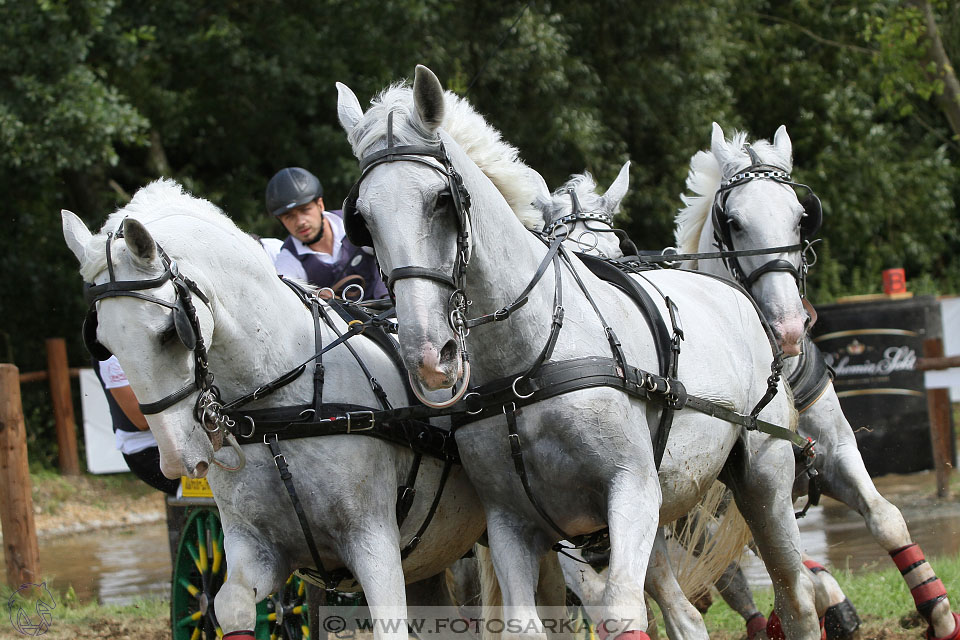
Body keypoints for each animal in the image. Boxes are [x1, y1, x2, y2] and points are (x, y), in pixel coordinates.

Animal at [59, 181, 488, 640]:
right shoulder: (258, 548)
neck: (281, 410)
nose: (179, 459)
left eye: (168, 333)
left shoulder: (374, 542)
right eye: (104, 344)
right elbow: (229, 606)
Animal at [336, 66, 816, 640]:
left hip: (763, 479)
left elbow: (623, 611)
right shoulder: (512, 523)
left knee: (795, 595)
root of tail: (738, 296)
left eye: (440, 200)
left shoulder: (632, 492)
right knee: (686, 616)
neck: (526, 364)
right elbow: (526, 623)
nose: (430, 354)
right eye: (362, 220)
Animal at [676, 124, 960, 640]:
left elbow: (887, 520)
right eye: (735, 223)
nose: (789, 327)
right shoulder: (732, 498)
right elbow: (777, 575)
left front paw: (940, 613)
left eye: (800, 218)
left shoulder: (835, 452)